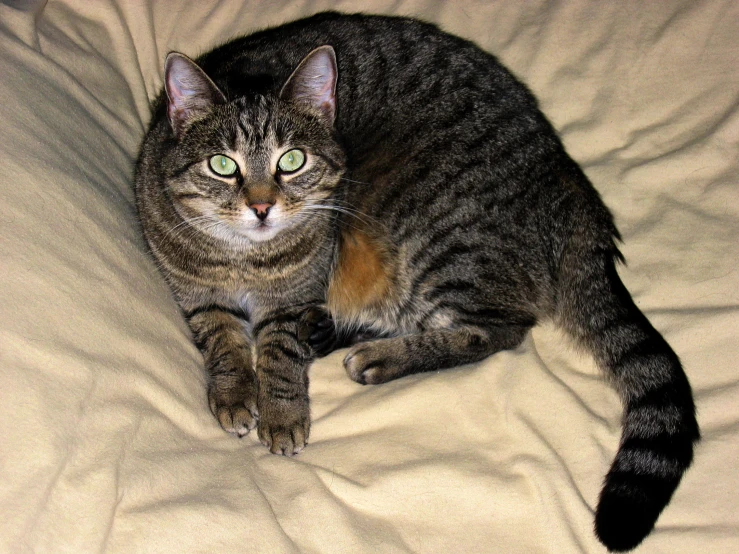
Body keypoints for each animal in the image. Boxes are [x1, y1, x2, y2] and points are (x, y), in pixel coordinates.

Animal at [134, 10, 700, 548]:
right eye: (222, 164)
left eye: (291, 160)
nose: (260, 206)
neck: (244, 259)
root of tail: (574, 189)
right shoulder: (198, 297)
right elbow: (223, 343)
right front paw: (234, 395)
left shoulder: (294, 298)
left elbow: (278, 355)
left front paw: (280, 413)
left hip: (437, 237)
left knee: (497, 329)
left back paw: (378, 357)